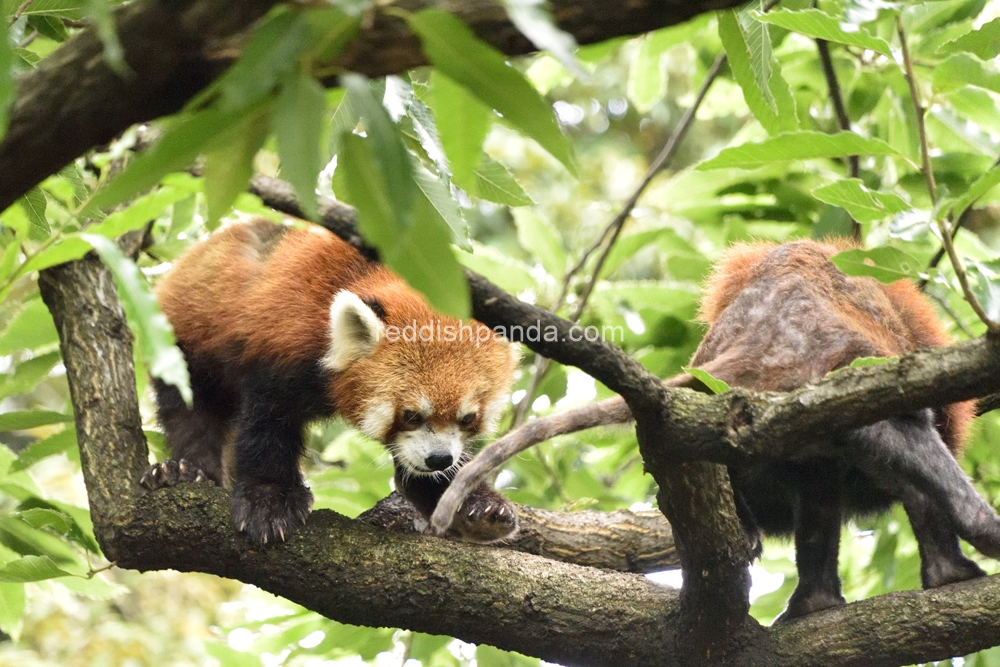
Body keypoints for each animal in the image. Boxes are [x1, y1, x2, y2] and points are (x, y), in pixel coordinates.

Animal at [144, 222, 520, 544]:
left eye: (467, 418)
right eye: (412, 415)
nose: (439, 459)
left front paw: (470, 504)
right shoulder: (280, 340)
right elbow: (266, 425)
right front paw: (270, 498)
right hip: (185, 340)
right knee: (191, 410)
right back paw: (186, 470)